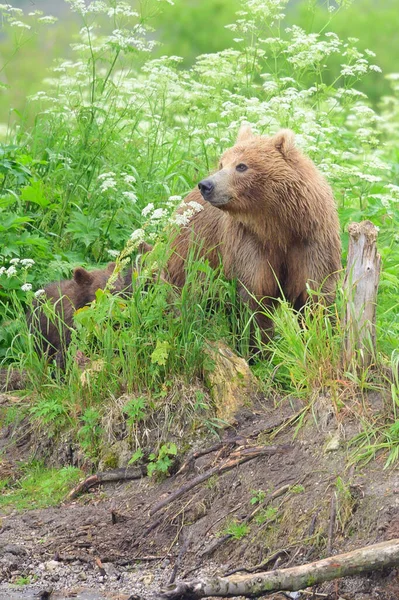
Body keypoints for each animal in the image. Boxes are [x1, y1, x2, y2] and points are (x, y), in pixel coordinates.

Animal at [166, 125, 340, 338]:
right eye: (222, 163)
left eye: (241, 166)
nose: (206, 185)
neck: (278, 228)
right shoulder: (247, 242)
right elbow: (253, 297)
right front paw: (257, 342)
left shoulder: (311, 241)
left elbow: (315, 294)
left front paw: (322, 334)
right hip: (189, 257)